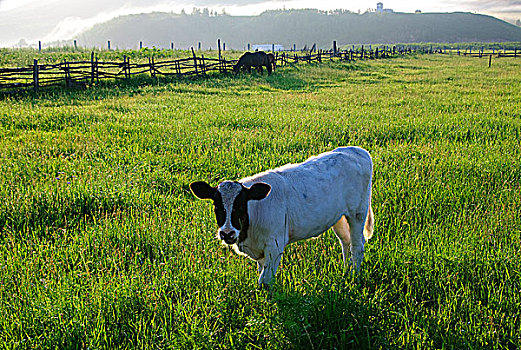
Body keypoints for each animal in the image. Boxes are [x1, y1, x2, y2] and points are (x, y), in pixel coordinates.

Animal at [191, 146, 374, 288]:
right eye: (217, 206)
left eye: (241, 205)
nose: (227, 233)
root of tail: (357, 150)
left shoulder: (275, 245)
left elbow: (264, 281)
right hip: (339, 217)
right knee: (346, 242)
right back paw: (346, 273)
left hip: (358, 212)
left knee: (357, 246)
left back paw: (354, 278)